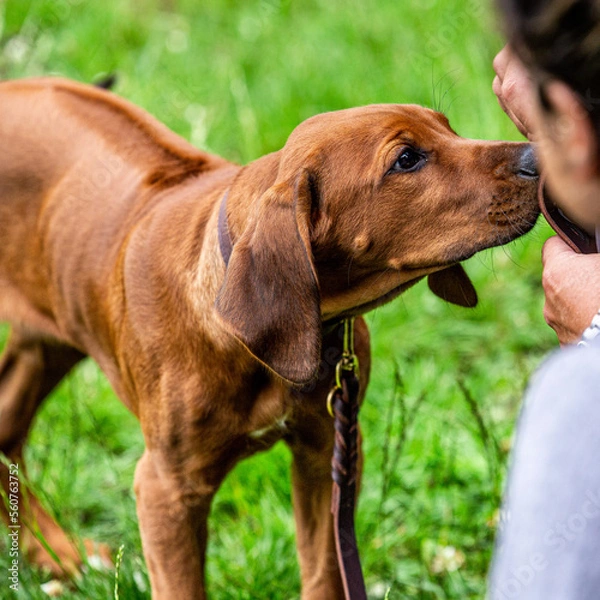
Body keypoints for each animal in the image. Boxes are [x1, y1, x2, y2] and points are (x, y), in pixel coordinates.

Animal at [0, 78, 540, 596]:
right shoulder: (166, 490)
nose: (537, 157)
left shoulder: (329, 449)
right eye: (406, 159)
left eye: (447, 127)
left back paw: (58, 555)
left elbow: (325, 573)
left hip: (47, 342)